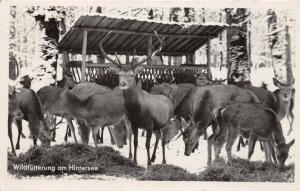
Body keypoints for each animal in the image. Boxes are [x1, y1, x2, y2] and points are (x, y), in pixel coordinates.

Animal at [98, 31, 173, 166]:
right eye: (119, 74)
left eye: (132, 75)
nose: (122, 83)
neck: (138, 111)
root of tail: (169, 100)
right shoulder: (134, 123)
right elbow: (135, 142)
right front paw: (135, 161)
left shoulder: (149, 123)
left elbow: (147, 144)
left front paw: (148, 164)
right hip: (157, 125)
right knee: (158, 136)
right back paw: (154, 158)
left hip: (166, 121)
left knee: (163, 138)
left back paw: (163, 160)